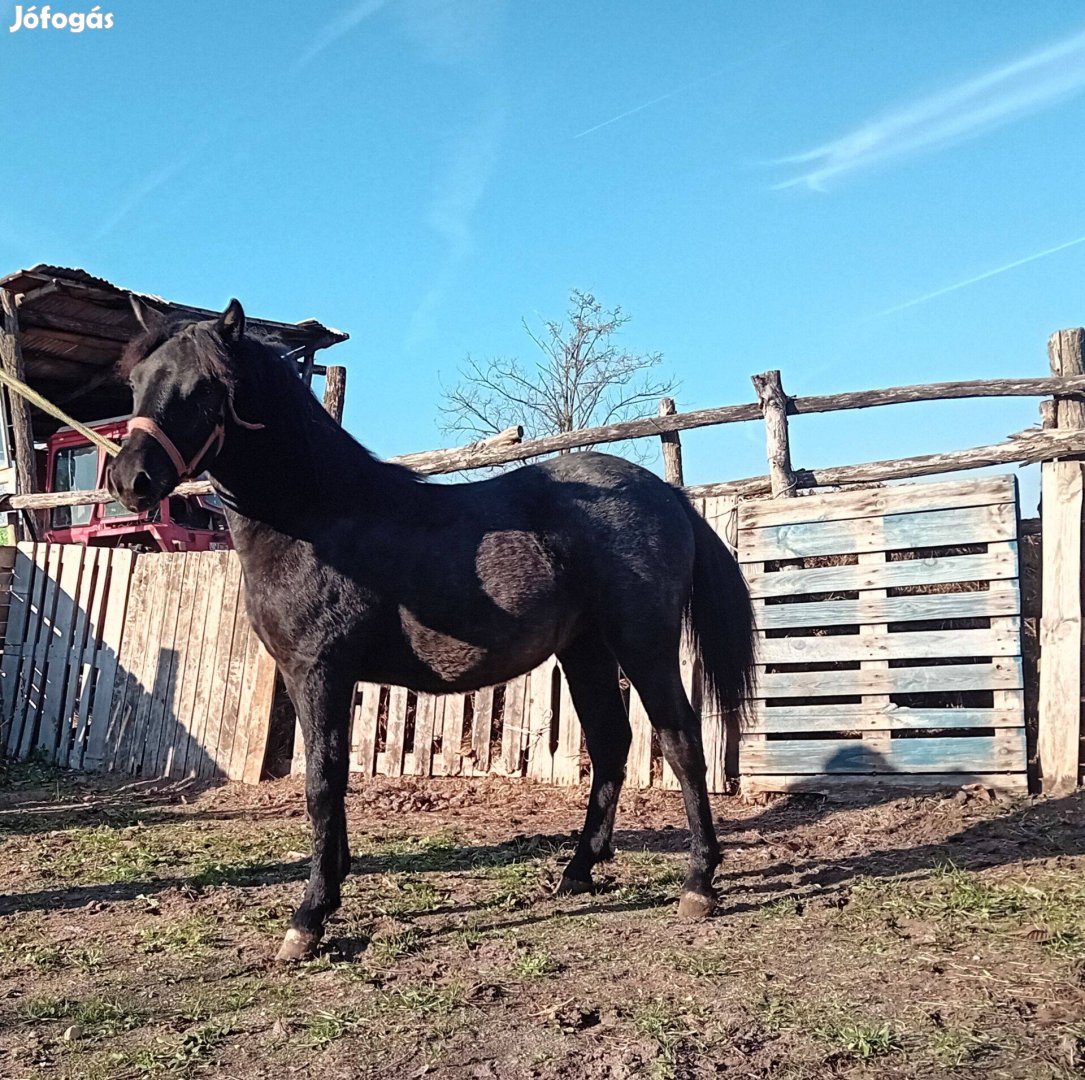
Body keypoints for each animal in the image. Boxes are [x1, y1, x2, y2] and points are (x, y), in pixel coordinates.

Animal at [107, 297, 755, 963]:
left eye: (202, 389)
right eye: (136, 383)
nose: (129, 479)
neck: (316, 518)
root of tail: (667, 494)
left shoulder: (320, 671)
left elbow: (320, 783)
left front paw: (310, 915)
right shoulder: (314, 676)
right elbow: (332, 779)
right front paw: (333, 880)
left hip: (643, 645)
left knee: (680, 741)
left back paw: (699, 882)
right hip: (586, 650)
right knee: (610, 744)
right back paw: (577, 870)